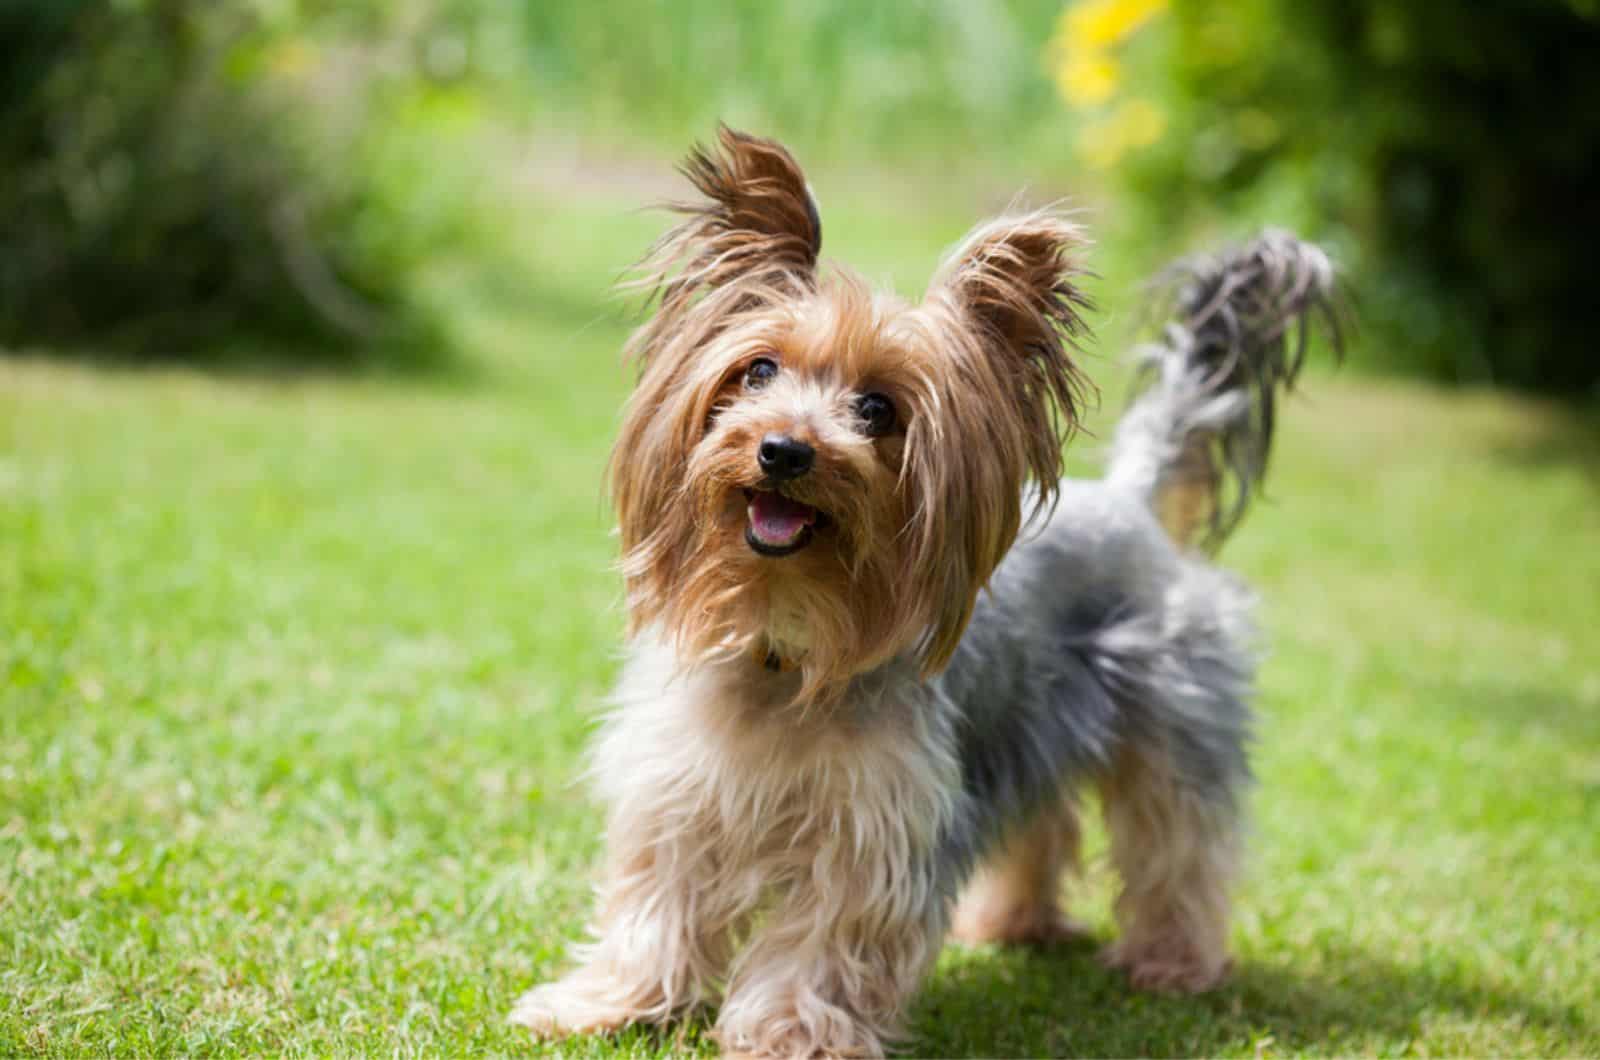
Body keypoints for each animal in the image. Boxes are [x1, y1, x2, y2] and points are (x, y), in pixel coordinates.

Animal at [512, 128, 1337, 1056]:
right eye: (756, 371)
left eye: (878, 409)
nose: (784, 450)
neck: (784, 636)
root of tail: (1132, 501)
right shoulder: (678, 791)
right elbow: (654, 902)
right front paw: (605, 1003)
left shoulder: (874, 826)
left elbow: (823, 938)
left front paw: (793, 1032)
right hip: (1030, 722)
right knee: (1044, 822)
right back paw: (1013, 924)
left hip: (1174, 717)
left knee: (1178, 843)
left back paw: (1173, 962)